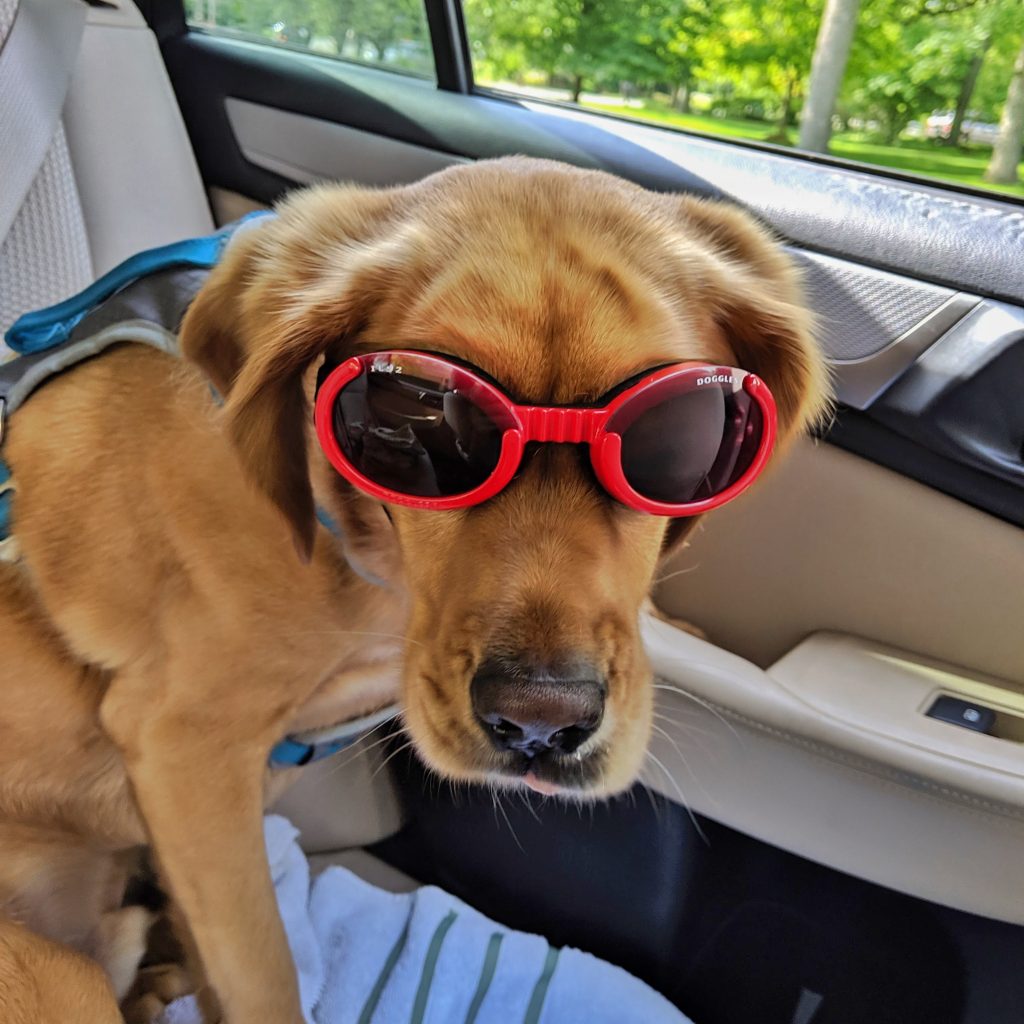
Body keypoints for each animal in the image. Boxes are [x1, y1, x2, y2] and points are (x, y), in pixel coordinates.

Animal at [0, 155, 827, 1019]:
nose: (540, 723)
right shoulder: (185, 746)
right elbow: (263, 973)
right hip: (57, 971)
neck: (363, 550)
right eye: (417, 416)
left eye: (681, 438)